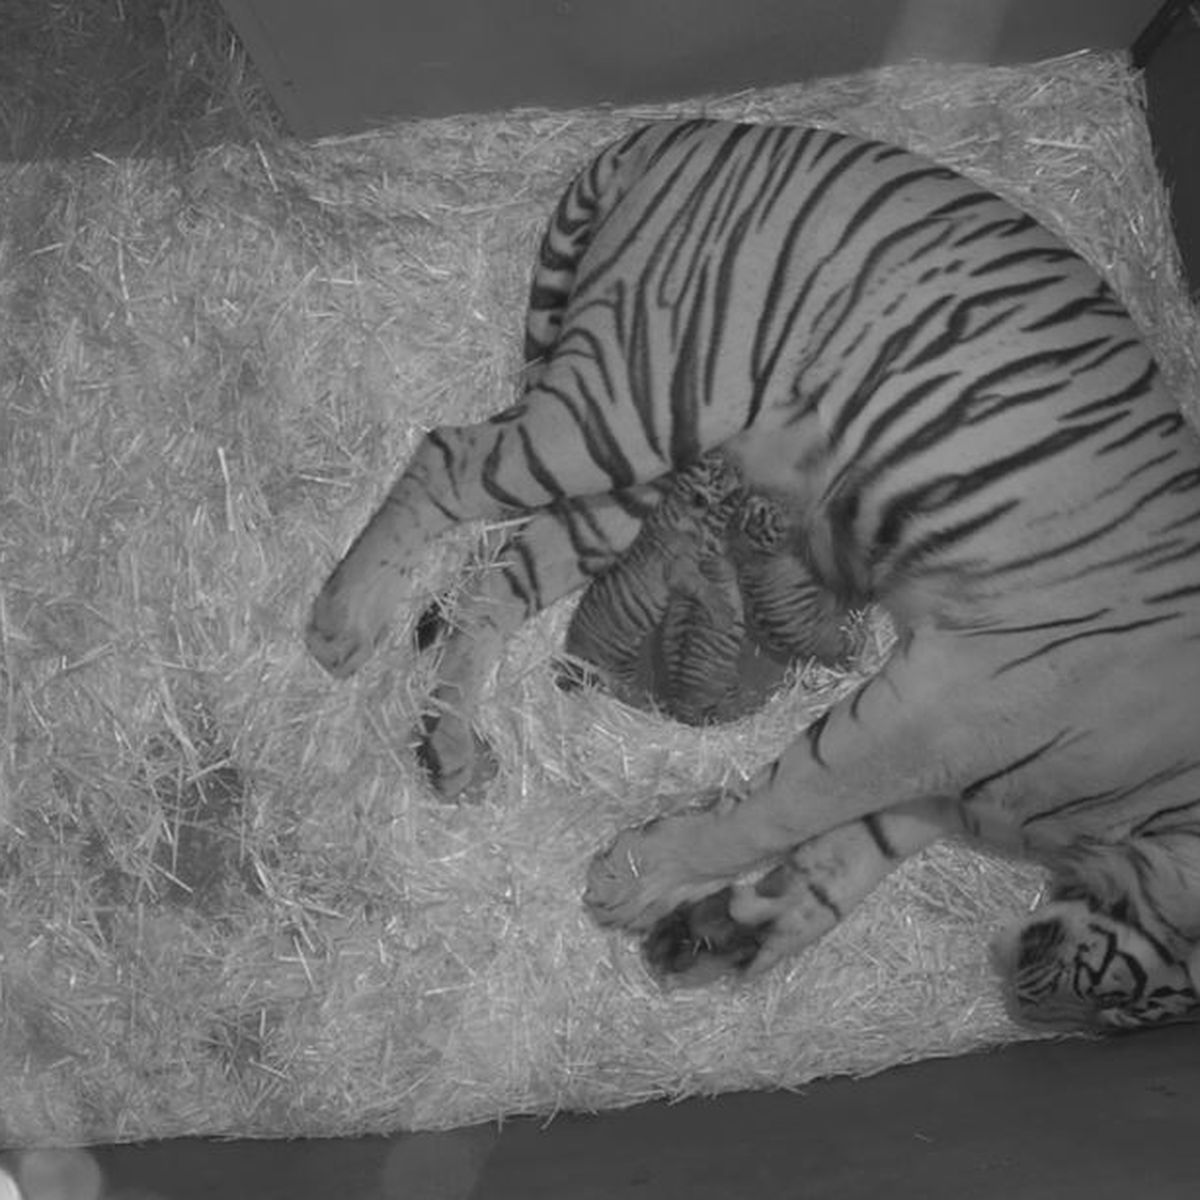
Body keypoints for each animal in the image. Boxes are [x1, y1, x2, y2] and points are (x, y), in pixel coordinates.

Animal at [302, 121, 1200, 1032]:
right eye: (1133, 1000)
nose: (1022, 995)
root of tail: (691, 126)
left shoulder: (945, 780)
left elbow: (835, 870)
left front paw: (714, 936)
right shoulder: (939, 711)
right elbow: (786, 805)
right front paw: (639, 881)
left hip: (638, 475)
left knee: (500, 580)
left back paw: (450, 748)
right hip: (633, 402)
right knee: (445, 456)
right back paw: (341, 623)